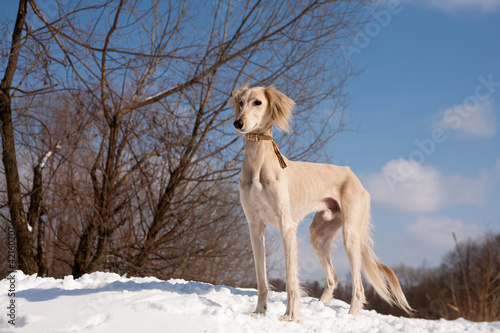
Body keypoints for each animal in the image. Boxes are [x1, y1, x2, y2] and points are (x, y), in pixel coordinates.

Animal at [231, 85, 414, 322]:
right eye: (241, 103)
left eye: (258, 102)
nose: (238, 123)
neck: (258, 164)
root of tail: (354, 176)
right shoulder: (255, 226)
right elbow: (261, 279)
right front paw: (259, 312)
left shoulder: (286, 225)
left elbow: (291, 279)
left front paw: (290, 317)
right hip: (318, 235)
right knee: (333, 277)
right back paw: (321, 306)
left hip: (351, 235)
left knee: (358, 288)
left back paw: (349, 317)